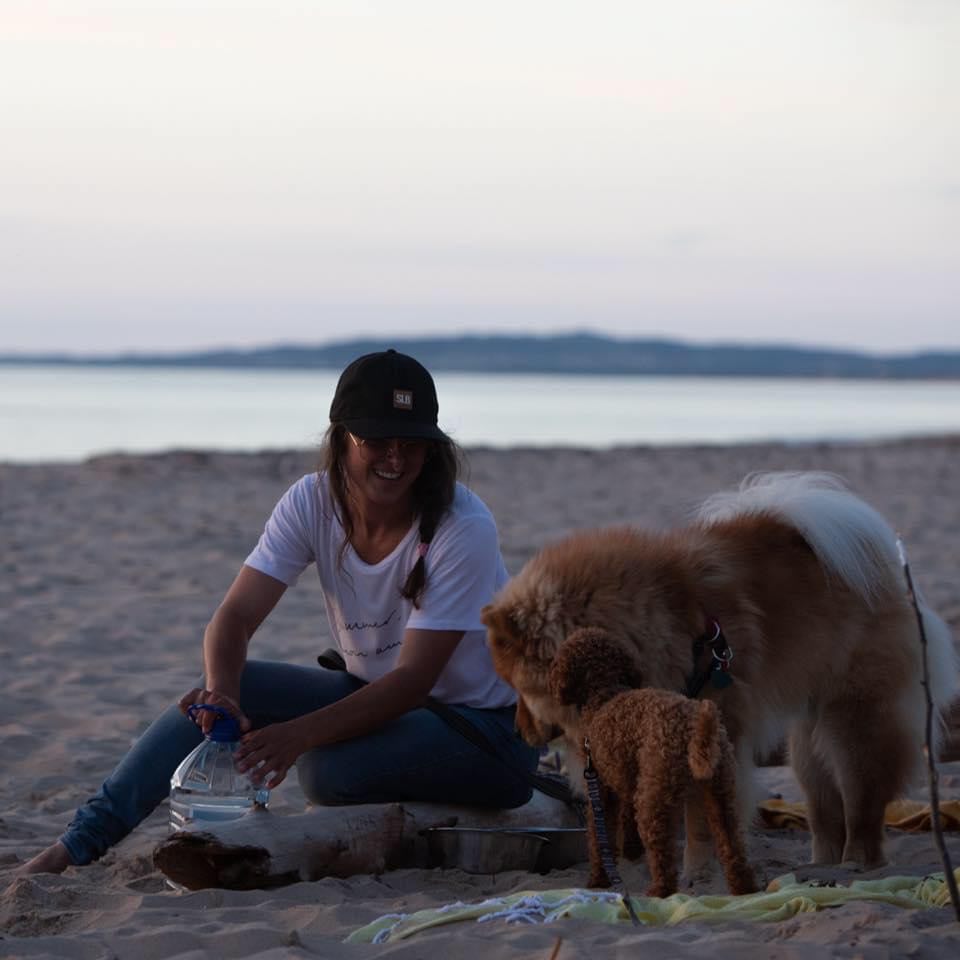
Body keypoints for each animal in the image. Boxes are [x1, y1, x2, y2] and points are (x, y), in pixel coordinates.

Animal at [484, 468, 956, 872]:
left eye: (519, 689)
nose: (516, 729)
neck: (653, 624)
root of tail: (881, 571)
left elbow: (700, 822)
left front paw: (697, 874)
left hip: (855, 719)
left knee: (862, 801)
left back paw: (858, 860)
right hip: (808, 737)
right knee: (824, 807)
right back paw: (821, 865)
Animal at [552, 632, 760, 900]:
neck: (605, 694)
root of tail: (694, 729)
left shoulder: (601, 789)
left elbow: (600, 839)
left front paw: (598, 881)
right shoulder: (626, 786)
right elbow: (625, 823)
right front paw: (630, 852)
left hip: (655, 794)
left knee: (662, 851)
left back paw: (659, 891)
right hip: (720, 790)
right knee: (732, 843)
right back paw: (744, 889)